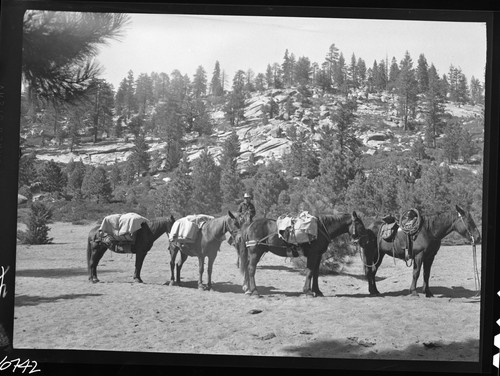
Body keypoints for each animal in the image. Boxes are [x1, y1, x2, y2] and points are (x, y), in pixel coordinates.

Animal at [236, 212, 370, 296]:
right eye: (360, 224)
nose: (366, 241)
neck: (321, 229)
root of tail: (250, 225)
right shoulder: (313, 255)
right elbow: (310, 272)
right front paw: (308, 291)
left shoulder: (318, 256)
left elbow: (315, 273)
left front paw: (317, 291)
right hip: (255, 253)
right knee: (251, 269)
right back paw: (254, 291)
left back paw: (248, 289)